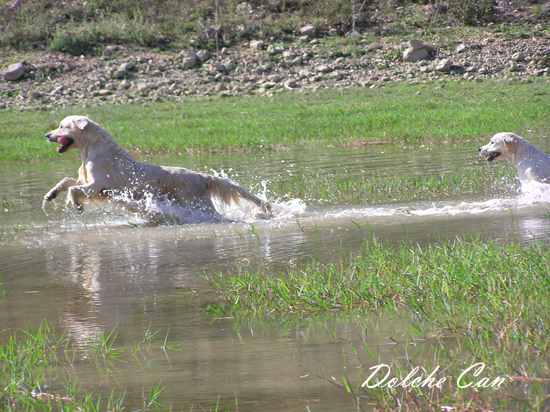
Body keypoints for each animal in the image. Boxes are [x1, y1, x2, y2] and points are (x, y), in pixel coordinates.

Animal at [43, 116, 274, 222]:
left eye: (62, 126)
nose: (47, 134)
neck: (93, 147)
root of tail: (201, 176)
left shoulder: (98, 184)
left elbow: (74, 189)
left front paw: (77, 205)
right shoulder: (87, 181)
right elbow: (67, 181)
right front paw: (50, 194)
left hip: (197, 204)